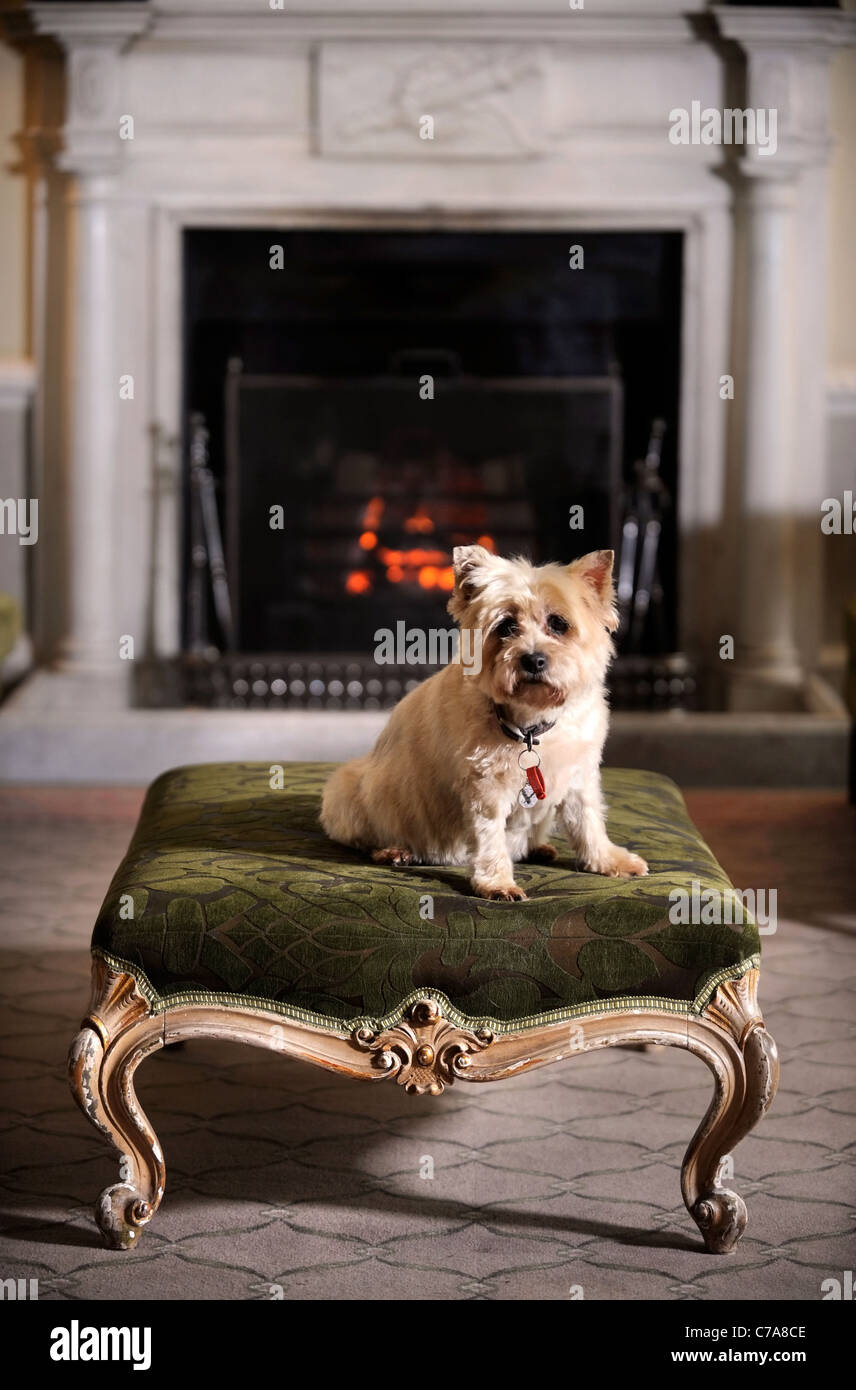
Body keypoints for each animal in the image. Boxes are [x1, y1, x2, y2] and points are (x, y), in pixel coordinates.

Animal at [321, 544, 647, 900]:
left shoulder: (579, 776)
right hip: (350, 790)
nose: (533, 659)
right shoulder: (485, 787)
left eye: (559, 624)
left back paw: (538, 847)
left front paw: (608, 859)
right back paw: (392, 850)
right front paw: (497, 882)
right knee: (362, 835)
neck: (531, 725)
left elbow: (588, 821)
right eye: (506, 626)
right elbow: (490, 836)